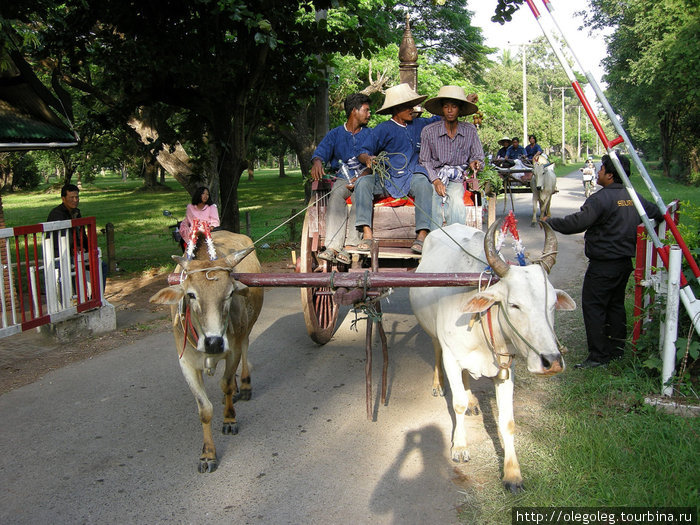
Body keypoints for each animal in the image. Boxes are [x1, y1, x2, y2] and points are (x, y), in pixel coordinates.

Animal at [408, 219, 576, 490]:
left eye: (552, 305)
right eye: (514, 304)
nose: (551, 362)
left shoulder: (506, 369)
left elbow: (507, 421)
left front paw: (513, 474)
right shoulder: (451, 358)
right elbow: (456, 404)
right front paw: (460, 446)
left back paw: (473, 401)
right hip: (433, 332)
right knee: (435, 350)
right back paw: (438, 385)